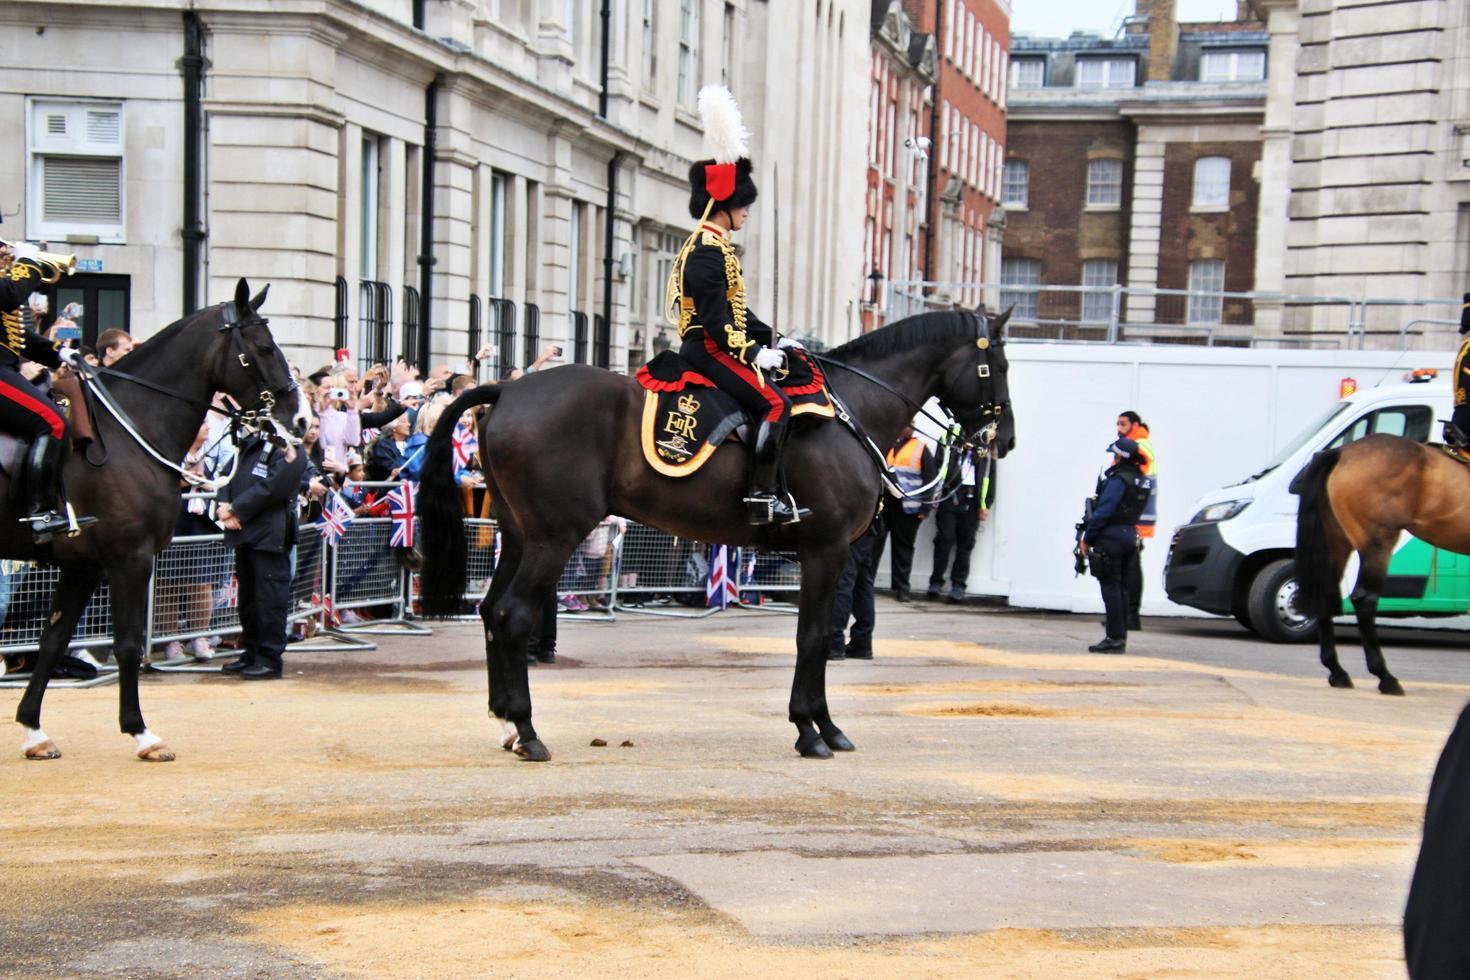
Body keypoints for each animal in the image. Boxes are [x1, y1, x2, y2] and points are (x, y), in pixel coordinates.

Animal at [2, 279, 305, 764]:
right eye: (262, 347)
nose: (300, 419)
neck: (127, 430)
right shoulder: (130, 559)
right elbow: (127, 643)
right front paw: (141, 732)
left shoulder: (83, 567)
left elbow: (53, 641)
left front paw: (33, 729)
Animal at [1287, 431, 1470, 693]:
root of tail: (1341, 452)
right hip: (1377, 545)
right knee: (1365, 600)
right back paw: (1384, 676)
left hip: (1336, 542)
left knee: (1327, 594)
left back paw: (1337, 671)